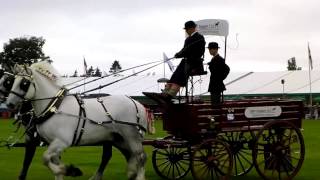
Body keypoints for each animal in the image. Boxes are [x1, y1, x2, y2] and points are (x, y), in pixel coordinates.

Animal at [5, 61, 149, 179]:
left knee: (140, 156)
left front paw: (68, 170)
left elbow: (45, 158)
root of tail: (137, 103)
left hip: (131, 136)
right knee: (128, 155)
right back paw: (130, 173)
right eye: (13, 81)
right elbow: (53, 163)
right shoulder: (53, 144)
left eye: (24, 83)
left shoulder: (62, 141)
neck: (55, 107)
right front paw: (66, 170)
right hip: (117, 138)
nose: (9, 104)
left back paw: (138, 176)